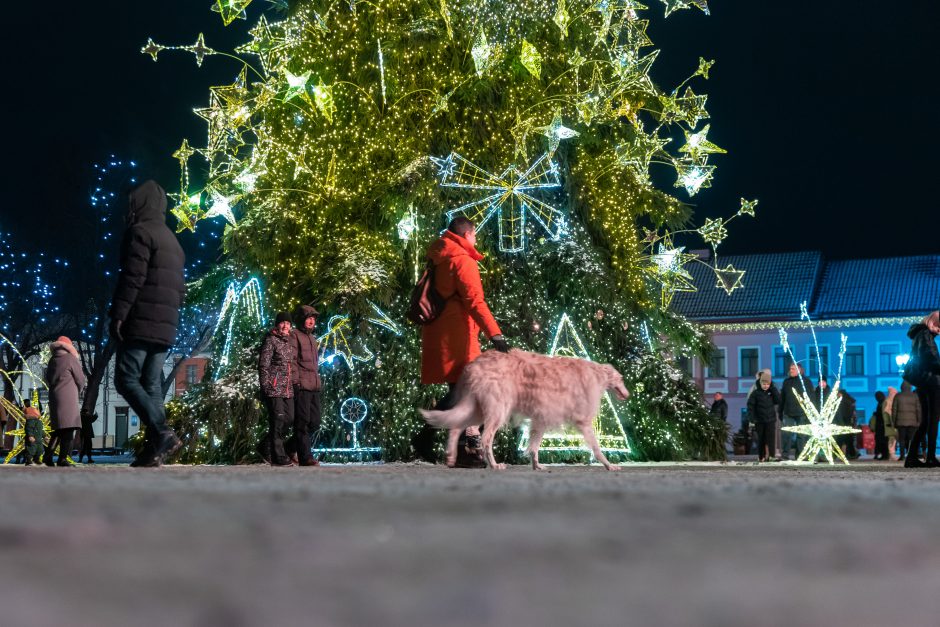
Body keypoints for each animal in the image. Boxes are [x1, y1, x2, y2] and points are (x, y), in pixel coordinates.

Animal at [420, 348, 632, 472]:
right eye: (622, 379)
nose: (628, 395)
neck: (596, 374)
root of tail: (473, 366)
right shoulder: (584, 422)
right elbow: (597, 447)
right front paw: (609, 465)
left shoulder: (540, 420)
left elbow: (534, 447)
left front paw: (537, 466)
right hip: (497, 412)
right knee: (485, 439)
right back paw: (494, 465)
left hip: (478, 409)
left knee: (455, 427)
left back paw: (451, 458)